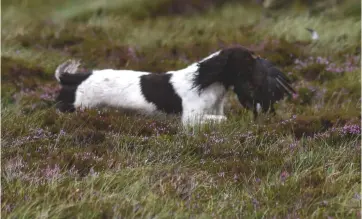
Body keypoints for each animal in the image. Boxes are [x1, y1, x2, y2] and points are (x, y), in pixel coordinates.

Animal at [55, 45, 296, 126]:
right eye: (249, 60)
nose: (266, 64)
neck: (205, 83)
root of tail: (77, 77)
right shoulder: (190, 118)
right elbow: (222, 119)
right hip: (78, 107)